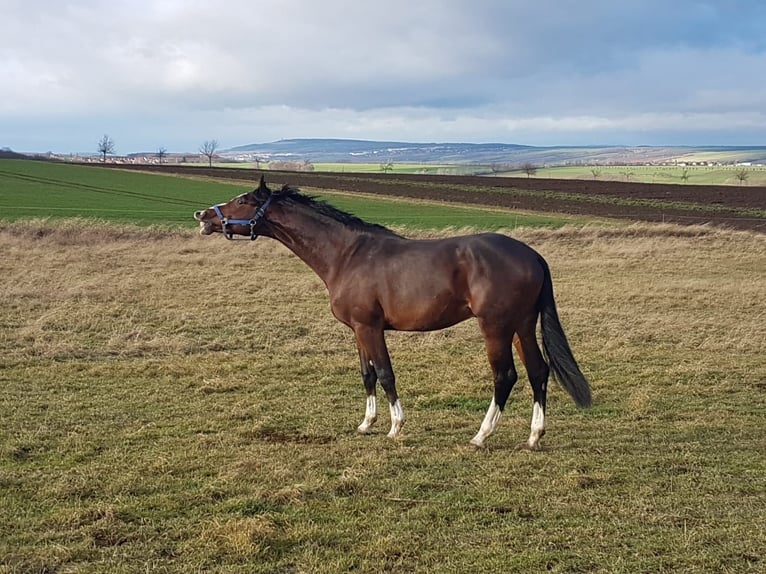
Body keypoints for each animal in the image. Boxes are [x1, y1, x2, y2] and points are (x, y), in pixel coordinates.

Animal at [195, 176, 592, 450]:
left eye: (244, 200)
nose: (202, 215)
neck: (347, 255)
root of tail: (532, 255)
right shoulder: (357, 330)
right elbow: (367, 374)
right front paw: (366, 424)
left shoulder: (370, 328)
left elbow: (386, 374)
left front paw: (395, 427)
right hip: (521, 325)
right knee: (538, 372)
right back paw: (534, 436)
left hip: (495, 327)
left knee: (505, 376)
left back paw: (481, 436)